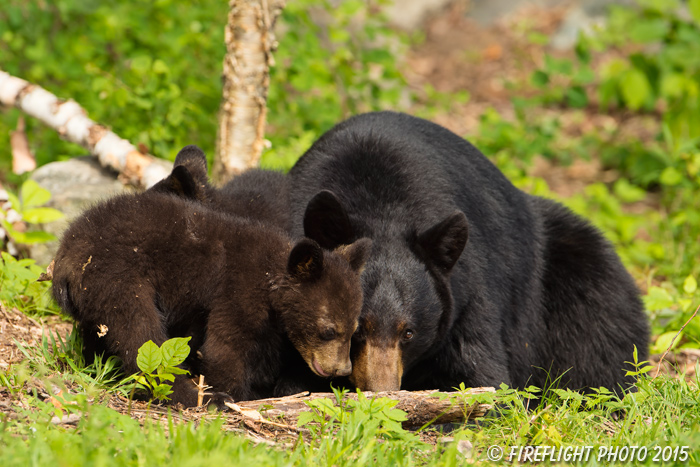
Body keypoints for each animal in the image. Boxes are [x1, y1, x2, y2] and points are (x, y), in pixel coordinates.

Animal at [52, 162, 372, 406]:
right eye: (328, 329)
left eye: (354, 329)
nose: (342, 368)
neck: (271, 277)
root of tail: (64, 257)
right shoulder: (237, 289)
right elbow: (225, 347)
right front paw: (231, 393)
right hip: (117, 275)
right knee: (140, 334)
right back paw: (193, 395)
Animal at [288, 111, 648, 396]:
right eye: (357, 330)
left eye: (409, 332)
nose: (382, 391)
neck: (380, 206)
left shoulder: (467, 293)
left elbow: (477, 378)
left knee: (602, 325)